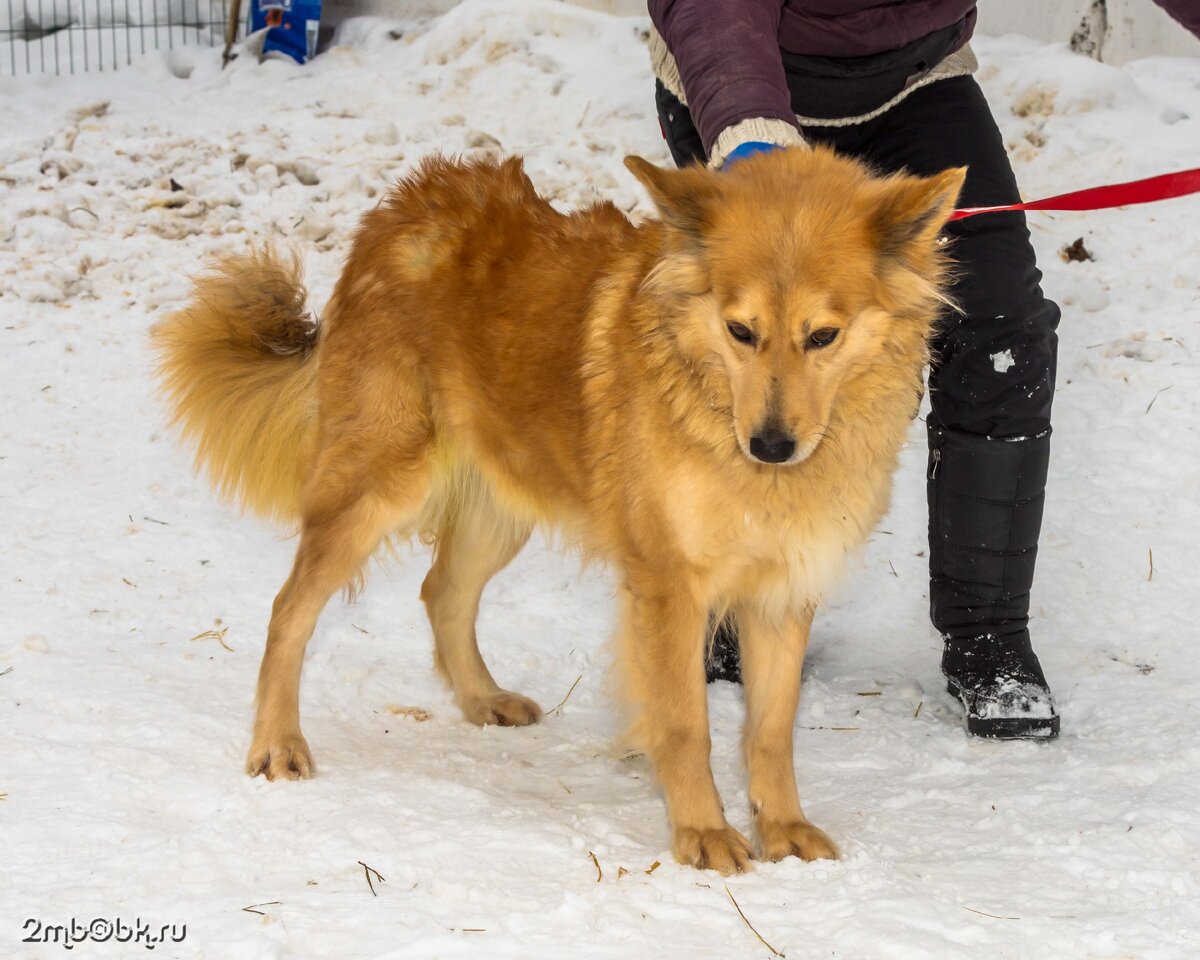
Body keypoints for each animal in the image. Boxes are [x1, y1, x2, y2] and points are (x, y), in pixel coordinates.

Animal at [154, 148, 960, 868]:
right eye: (741, 331)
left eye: (823, 336)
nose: (770, 445)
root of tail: (402, 208)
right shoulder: (669, 587)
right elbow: (685, 724)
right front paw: (702, 832)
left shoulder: (783, 590)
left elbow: (771, 729)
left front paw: (783, 826)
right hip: (378, 487)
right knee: (290, 609)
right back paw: (276, 742)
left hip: (501, 502)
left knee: (442, 591)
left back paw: (480, 698)